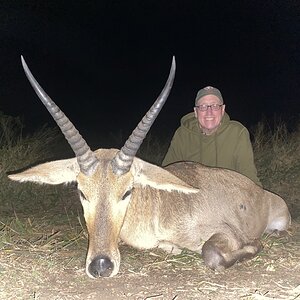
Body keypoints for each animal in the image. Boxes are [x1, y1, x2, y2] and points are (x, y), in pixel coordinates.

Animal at [8, 55, 290, 278]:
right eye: (81, 192)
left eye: (127, 192)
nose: (101, 266)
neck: (159, 206)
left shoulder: (225, 233)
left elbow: (211, 252)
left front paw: (253, 246)